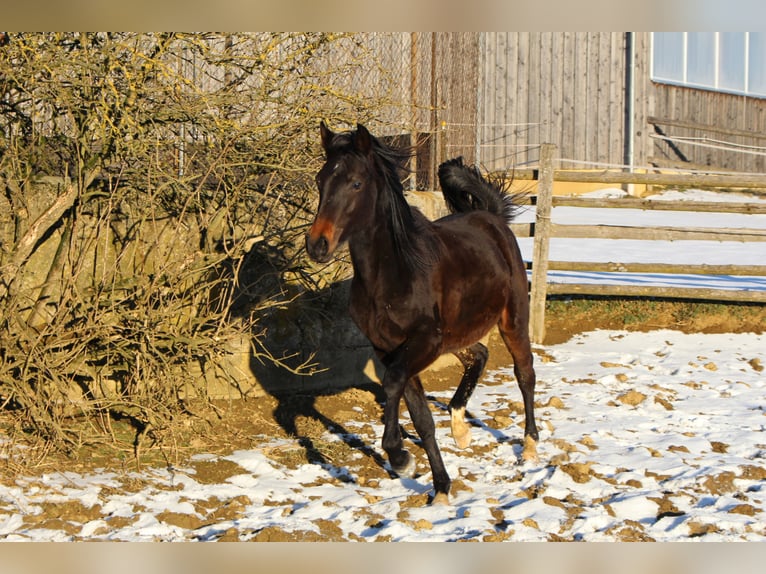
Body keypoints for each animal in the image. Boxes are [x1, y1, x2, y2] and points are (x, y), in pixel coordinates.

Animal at [305, 122, 539, 505]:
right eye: (320, 179)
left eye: (356, 183)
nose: (317, 244)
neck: (394, 273)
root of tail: (491, 216)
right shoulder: (391, 348)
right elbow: (421, 417)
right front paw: (440, 486)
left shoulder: (422, 342)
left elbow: (393, 384)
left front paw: (399, 456)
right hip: (456, 334)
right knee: (479, 354)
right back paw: (460, 427)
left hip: (512, 319)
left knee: (525, 374)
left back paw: (530, 446)